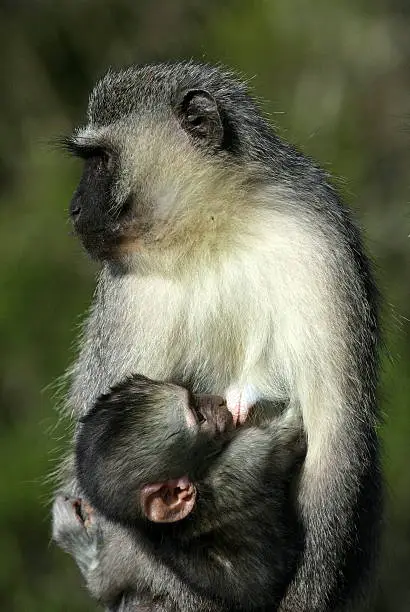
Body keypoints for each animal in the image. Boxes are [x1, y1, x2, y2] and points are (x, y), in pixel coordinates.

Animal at [51, 59, 382, 608]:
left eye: (98, 161)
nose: (74, 209)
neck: (213, 225)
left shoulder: (315, 239)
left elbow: (335, 433)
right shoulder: (131, 291)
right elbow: (96, 471)